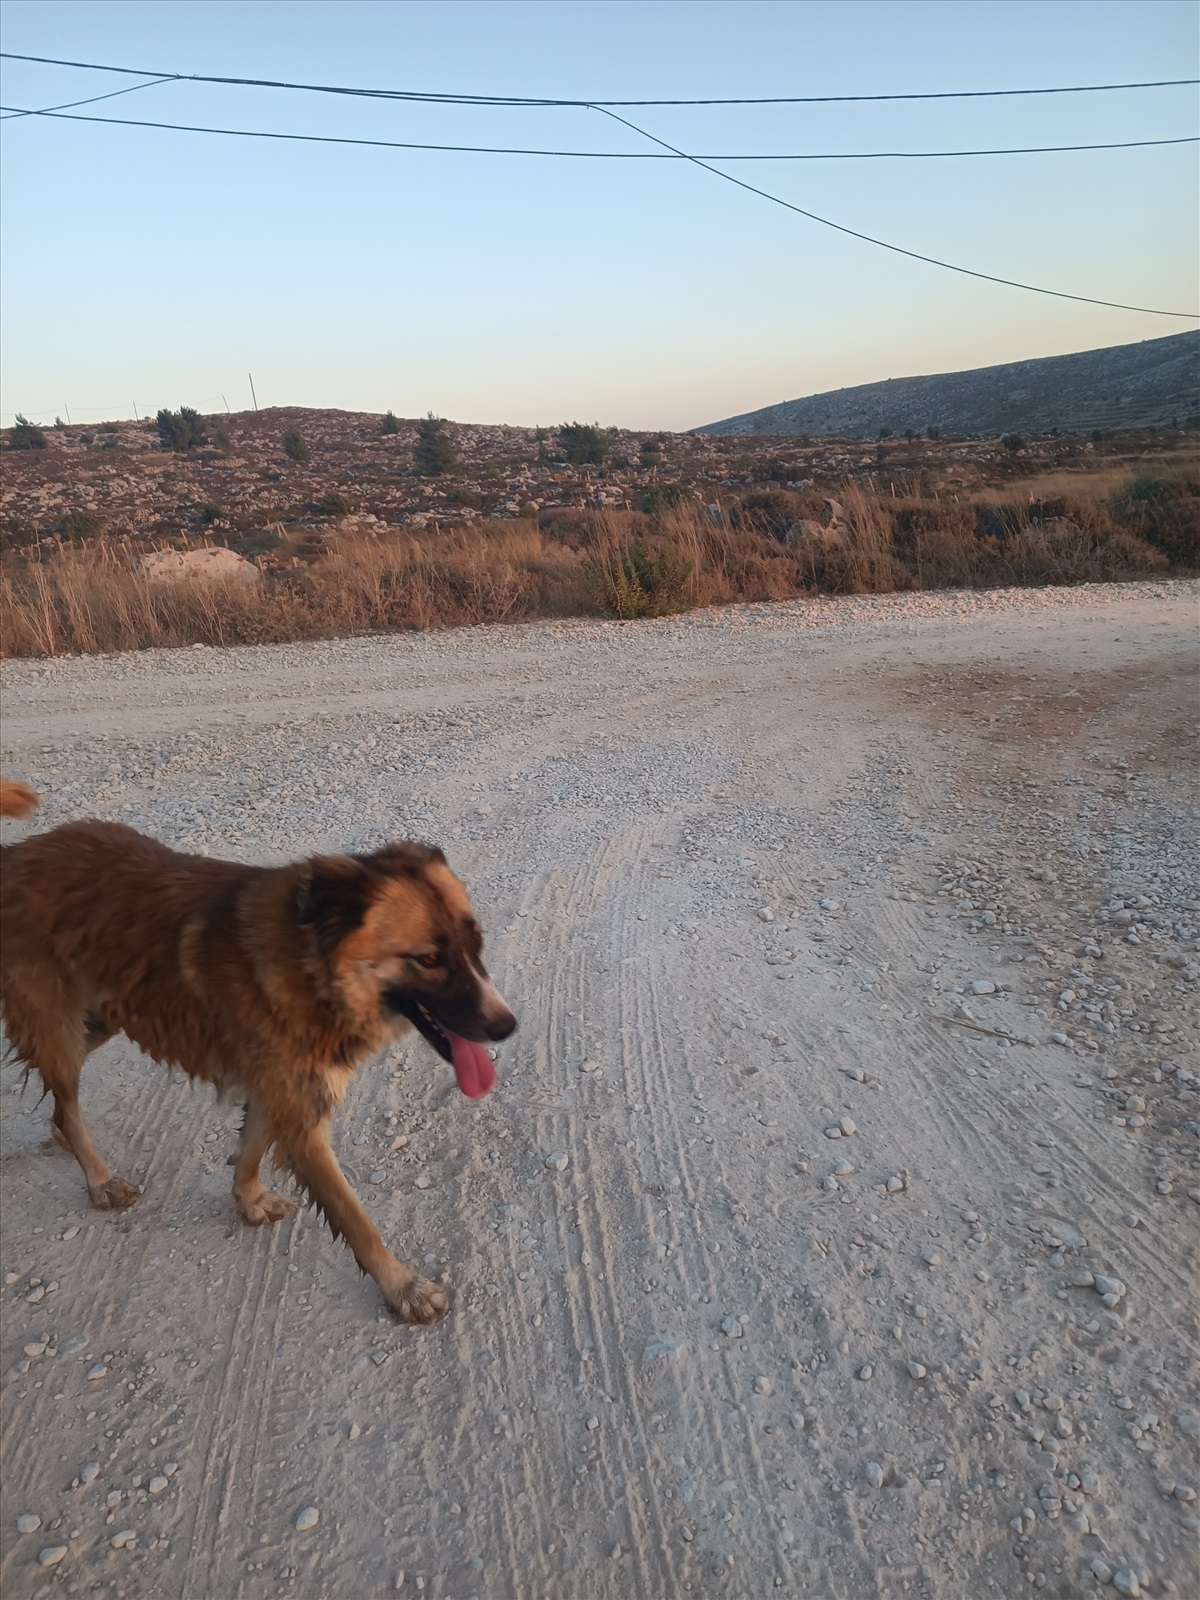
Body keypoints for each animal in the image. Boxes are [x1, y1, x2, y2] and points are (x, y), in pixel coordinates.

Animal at [0, 777, 518, 1324]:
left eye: (477, 943)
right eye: (429, 959)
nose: (507, 1026)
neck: (316, 967)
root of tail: (16, 855)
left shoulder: (282, 1087)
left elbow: (251, 1147)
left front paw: (246, 1200)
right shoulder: (302, 1113)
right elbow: (356, 1220)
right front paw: (404, 1287)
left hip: (100, 1019)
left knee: (63, 1101)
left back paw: (61, 1136)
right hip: (58, 1024)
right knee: (67, 1097)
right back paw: (99, 1179)